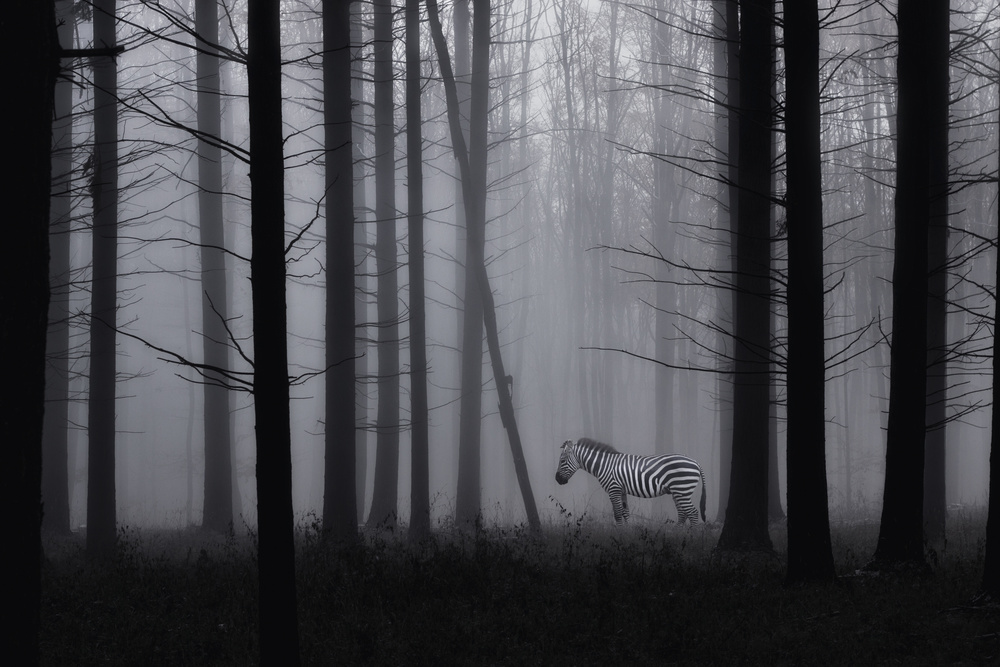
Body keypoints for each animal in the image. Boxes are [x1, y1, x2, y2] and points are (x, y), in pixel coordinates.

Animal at [555, 438, 707, 526]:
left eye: (562, 461)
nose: (557, 479)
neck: (604, 465)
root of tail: (696, 462)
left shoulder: (613, 489)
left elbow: (617, 514)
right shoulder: (621, 491)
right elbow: (625, 513)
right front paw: (627, 535)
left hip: (682, 490)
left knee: (693, 513)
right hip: (678, 492)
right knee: (683, 514)